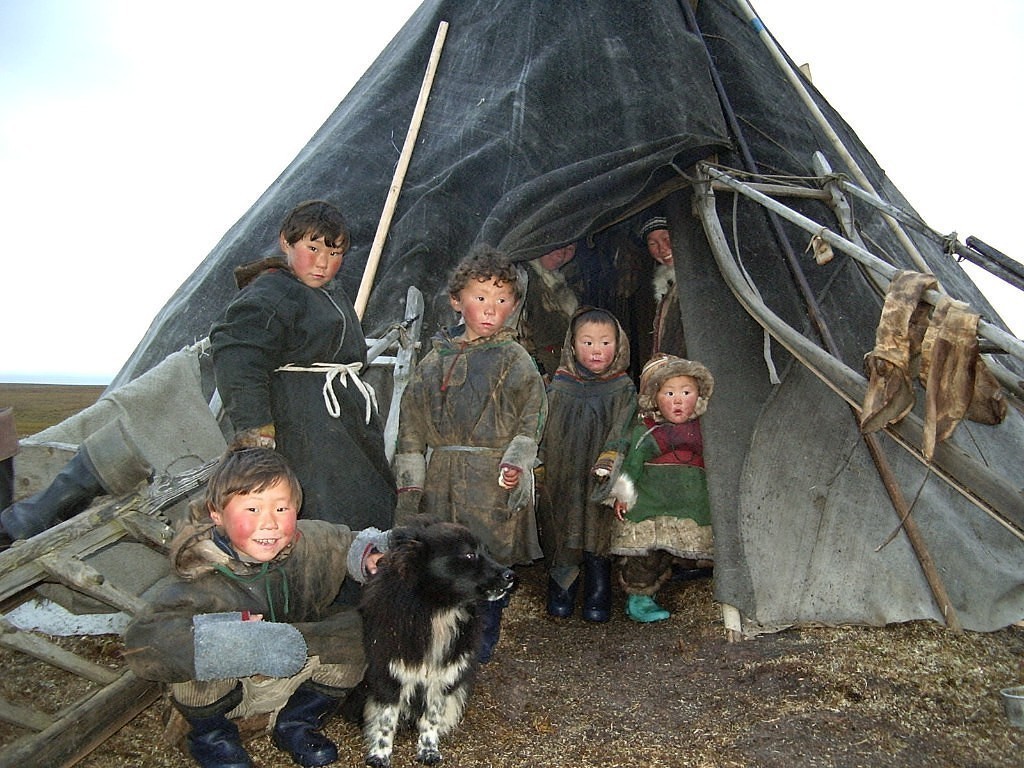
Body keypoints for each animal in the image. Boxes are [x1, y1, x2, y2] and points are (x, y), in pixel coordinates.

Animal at [362, 520, 520, 765]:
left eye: (486, 551)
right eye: (469, 554)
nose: (510, 574)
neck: (437, 609)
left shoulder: (442, 676)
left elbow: (432, 717)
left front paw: (428, 750)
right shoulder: (389, 673)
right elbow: (386, 720)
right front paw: (380, 754)